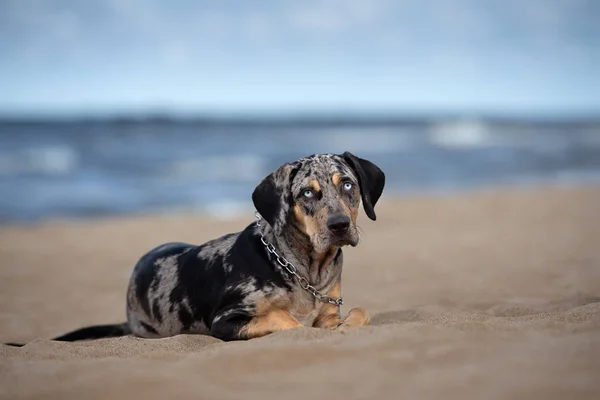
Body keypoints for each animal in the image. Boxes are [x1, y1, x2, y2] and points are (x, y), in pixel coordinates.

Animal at [5, 152, 384, 346]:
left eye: (347, 185)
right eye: (307, 193)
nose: (339, 226)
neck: (305, 271)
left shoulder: (331, 308)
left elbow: (360, 312)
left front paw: (346, 327)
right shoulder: (227, 320)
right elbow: (288, 320)